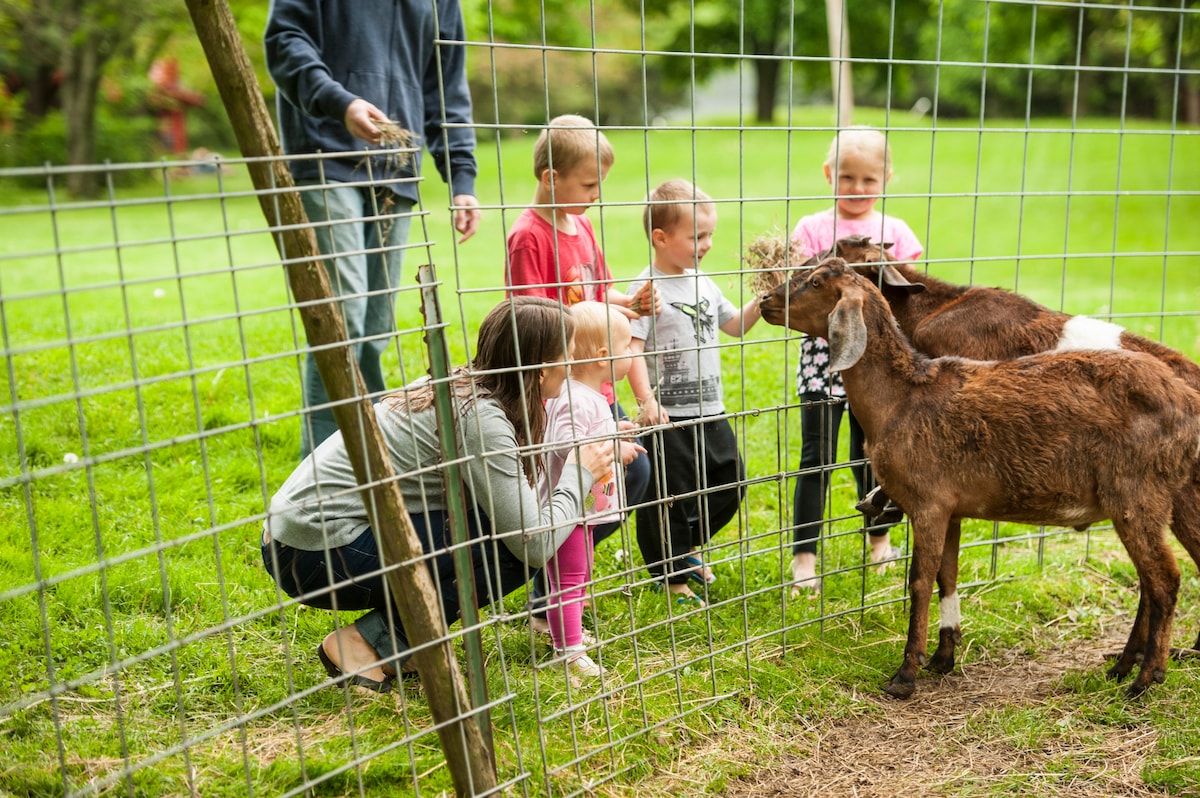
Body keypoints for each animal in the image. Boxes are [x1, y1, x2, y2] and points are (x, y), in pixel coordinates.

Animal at [758, 260, 1200, 696]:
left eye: (816, 282)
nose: (764, 300)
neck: (901, 398)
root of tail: (1186, 401)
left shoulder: (928, 504)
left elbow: (919, 581)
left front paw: (905, 675)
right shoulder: (951, 509)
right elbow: (947, 576)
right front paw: (942, 657)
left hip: (1137, 493)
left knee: (1165, 579)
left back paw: (1146, 678)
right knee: (1149, 581)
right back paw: (1122, 667)